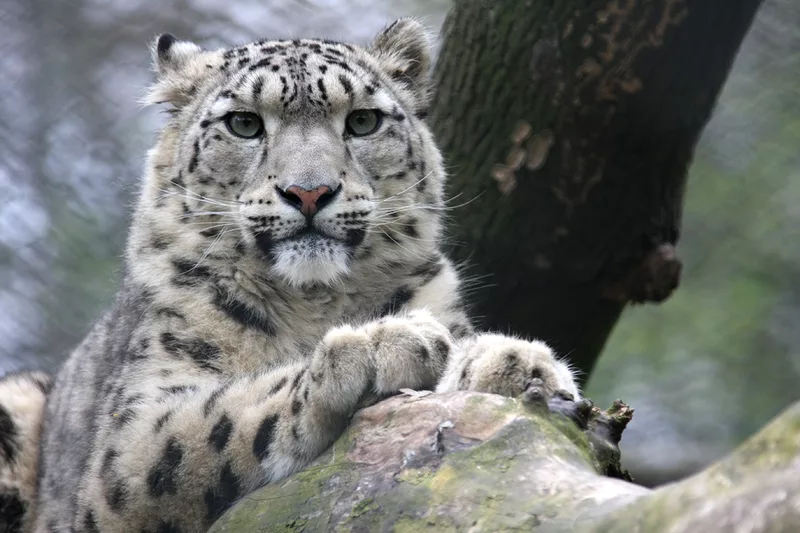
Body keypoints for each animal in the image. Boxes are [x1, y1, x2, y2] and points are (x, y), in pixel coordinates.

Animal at [0, 19, 579, 533]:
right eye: (244, 123)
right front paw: (378, 345)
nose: (309, 192)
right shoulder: (130, 441)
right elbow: (217, 419)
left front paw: (512, 360)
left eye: (363, 121)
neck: (313, 301)